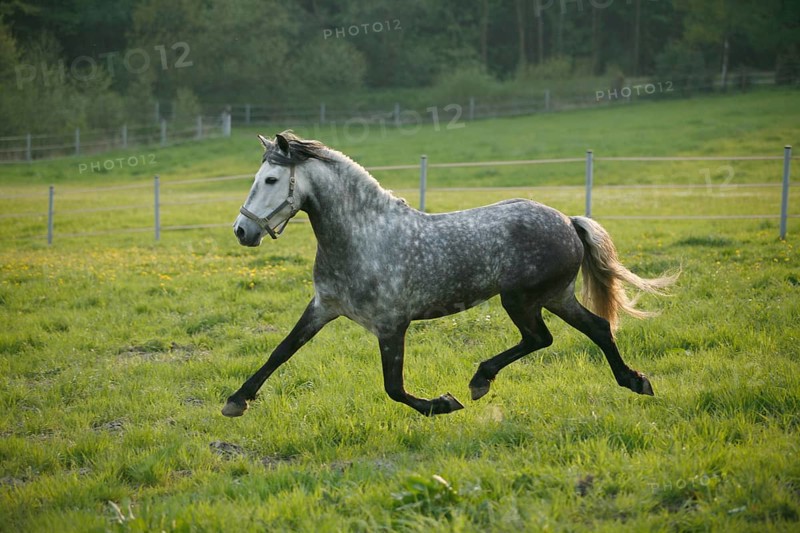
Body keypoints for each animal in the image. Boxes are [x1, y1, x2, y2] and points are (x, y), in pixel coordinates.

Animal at [223, 131, 677, 418]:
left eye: (271, 179)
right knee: (596, 328)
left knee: (541, 338)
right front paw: (236, 401)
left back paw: (480, 381)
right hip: (555, 296)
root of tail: (567, 220)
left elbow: (394, 387)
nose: (242, 231)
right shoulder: (323, 307)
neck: (365, 237)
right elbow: (281, 351)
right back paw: (634, 381)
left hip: (522, 299)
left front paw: (443, 403)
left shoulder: (391, 325)